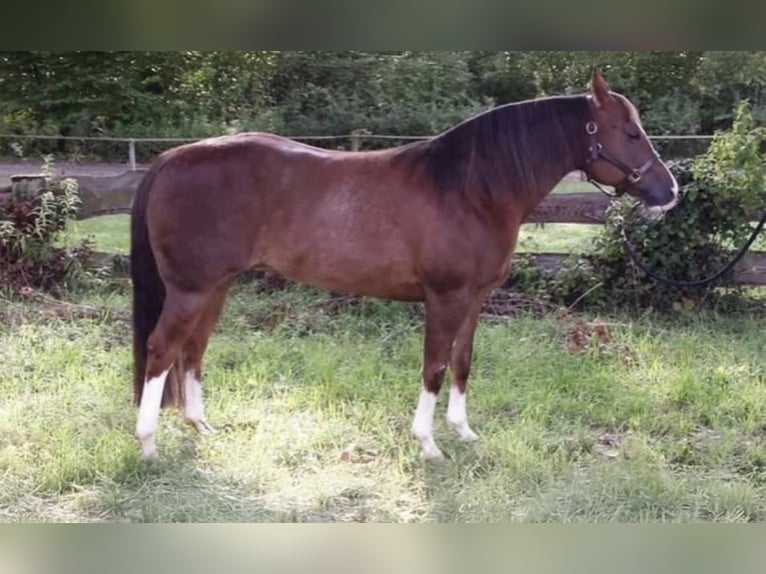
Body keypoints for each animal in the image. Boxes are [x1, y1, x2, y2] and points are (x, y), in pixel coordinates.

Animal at [130, 70, 678, 461]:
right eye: (631, 132)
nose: (669, 191)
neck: (471, 190)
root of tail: (172, 159)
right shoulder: (445, 297)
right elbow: (433, 367)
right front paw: (429, 444)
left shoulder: (474, 299)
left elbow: (462, 362)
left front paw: (464, 432)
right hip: (190, 290)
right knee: (161, 350)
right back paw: (148, 444)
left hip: (216, 286)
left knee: (193, 351)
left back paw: (200, 426)